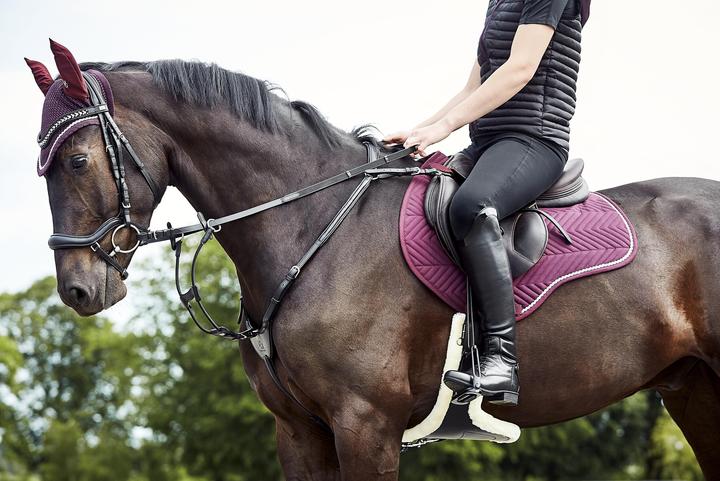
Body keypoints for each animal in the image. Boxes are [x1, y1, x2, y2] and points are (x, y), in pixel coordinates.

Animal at [29, 51, 720, 480]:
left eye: (77, 161)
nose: (78, 290)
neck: (312, 222)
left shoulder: (366, 424)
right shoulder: (300, 432)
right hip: (695, 391)